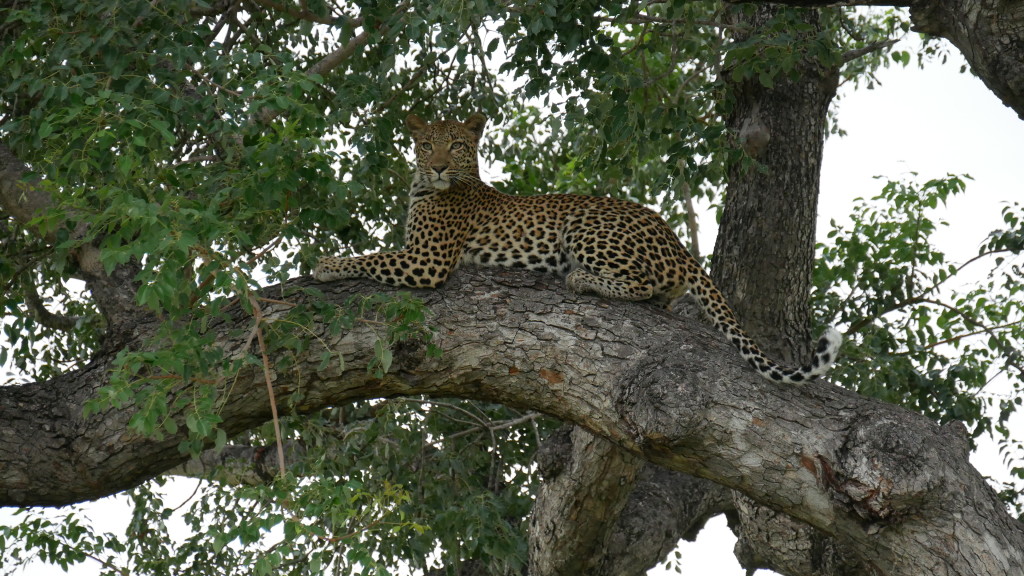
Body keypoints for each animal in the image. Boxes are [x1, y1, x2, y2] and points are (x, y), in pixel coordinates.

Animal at [315, 111, 843, 381]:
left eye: (457, 146)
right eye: (427, 145)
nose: (439, 166)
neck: (428, 188)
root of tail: (674, 238)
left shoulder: (427, 262)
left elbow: (373, 256)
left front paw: (324, 264)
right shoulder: (419, 255)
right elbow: (376, 252)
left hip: (584, 225)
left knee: (642, 285)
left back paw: (582, 280)